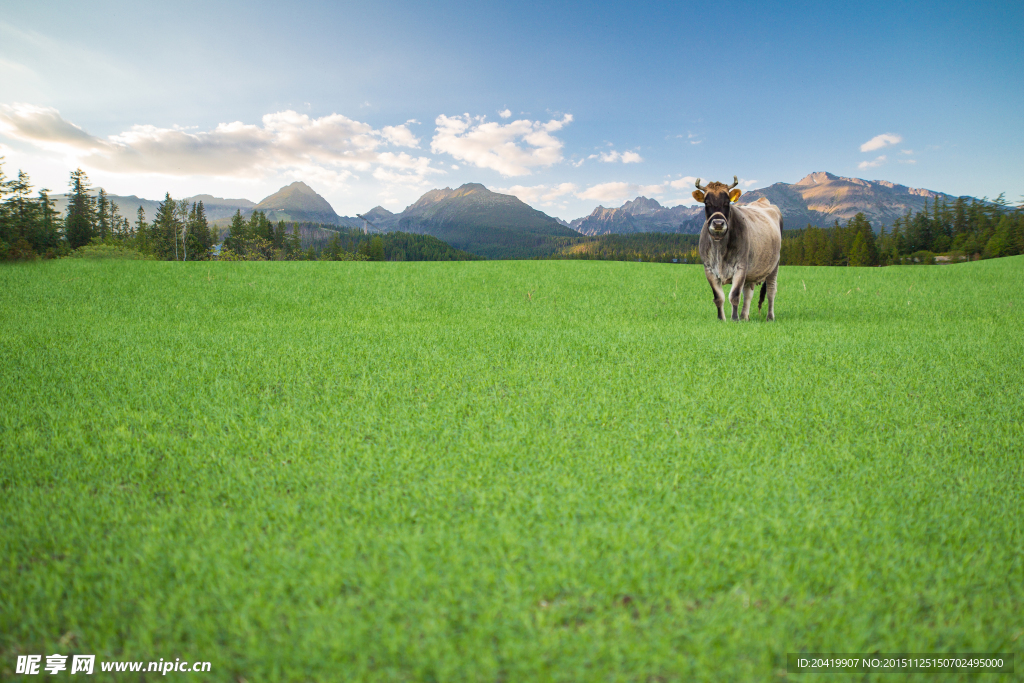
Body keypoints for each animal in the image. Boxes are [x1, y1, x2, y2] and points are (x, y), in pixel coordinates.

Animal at [696, 179, 782, 323]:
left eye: (727, 202)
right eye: (706, 203)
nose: (718, 223)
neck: (720, 248)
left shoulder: (741, 267)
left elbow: (735, 295)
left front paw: (734, 319)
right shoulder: (708, 269)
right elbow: (718, 298)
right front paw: (721, 318)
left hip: (774, 265)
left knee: (771, 291)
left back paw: (769, 317)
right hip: (751, 271)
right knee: (748, 293)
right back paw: (744, 316)